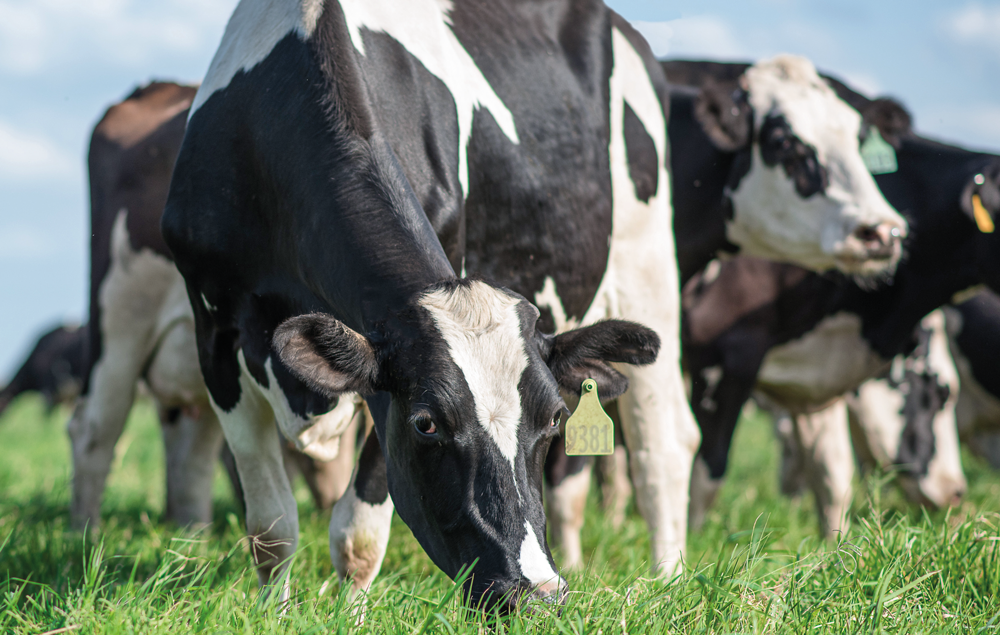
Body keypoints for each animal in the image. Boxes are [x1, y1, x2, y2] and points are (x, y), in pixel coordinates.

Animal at [673, 60, 1000, 535]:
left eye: (858, 142)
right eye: (939, 394)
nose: (956, 492)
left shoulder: (814, 367)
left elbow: (831, 470)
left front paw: (835, 541)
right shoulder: (726, 353)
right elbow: (705, 473)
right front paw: (693, 544)